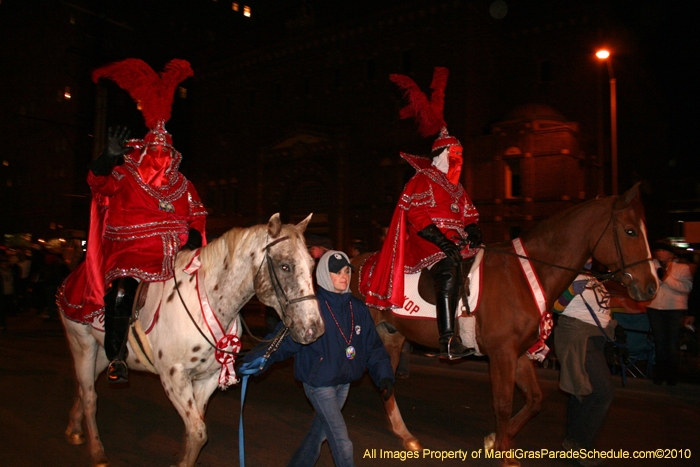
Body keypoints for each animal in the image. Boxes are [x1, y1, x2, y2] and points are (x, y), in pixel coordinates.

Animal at [58, 214, 324, 466]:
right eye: (285, 266)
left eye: (312, 264)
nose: (315, 329)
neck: (206, 303)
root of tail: (73, 277)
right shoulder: (174, 378)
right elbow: (198, 432)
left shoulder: (207, 378)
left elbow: (194, 430)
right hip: (81, 344)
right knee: (90, 396)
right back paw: (96, 452)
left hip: (104, 352)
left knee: (85, 386)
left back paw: (74, 428)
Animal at [352, 185, 660, 466]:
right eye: (630, 231)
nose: (651, 287)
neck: (524, 275)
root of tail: (357, 263)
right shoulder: (501, 354)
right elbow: (502, 403)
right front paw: (504, 452)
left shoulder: (518, 353)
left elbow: (534, 400)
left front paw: (496, 440)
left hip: (390, 337)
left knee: (385, 383)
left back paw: (405, 434)